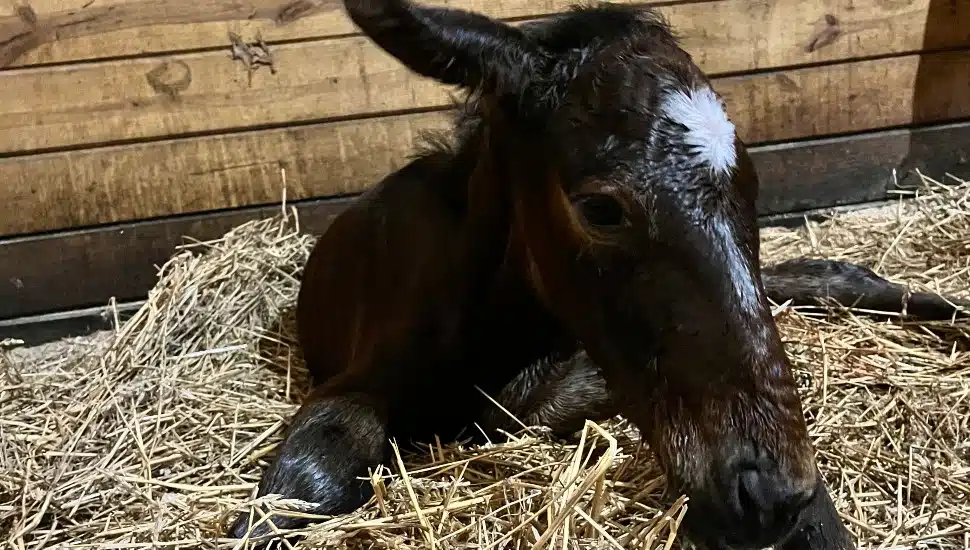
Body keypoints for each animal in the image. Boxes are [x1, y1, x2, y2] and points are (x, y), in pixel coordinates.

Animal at [227, 1, 969, 548]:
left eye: (753, 187)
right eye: (600, 208)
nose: (773, 493)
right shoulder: (363, 377)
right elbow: (312, 469)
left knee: (817, 275)